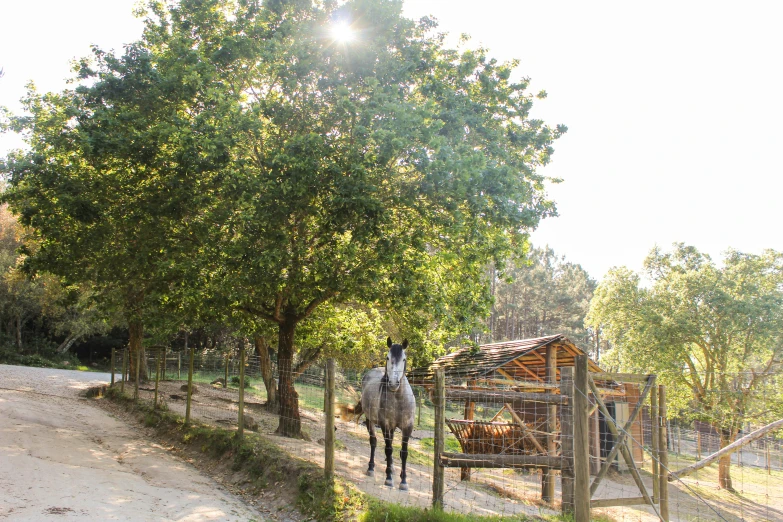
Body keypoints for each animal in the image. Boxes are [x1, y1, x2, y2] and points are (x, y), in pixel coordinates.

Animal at [356, 338, 416, 488]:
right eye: (388, 357)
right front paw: (389, 479)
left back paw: (392, 467)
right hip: (371, 421)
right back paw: (371, 468)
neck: (399, 399)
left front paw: (403, 482)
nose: (393, 383)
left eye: (404, 359)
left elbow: (403, 452)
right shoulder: (385, 425)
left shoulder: (408, 427)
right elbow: (388, 449)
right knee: (374, 442)